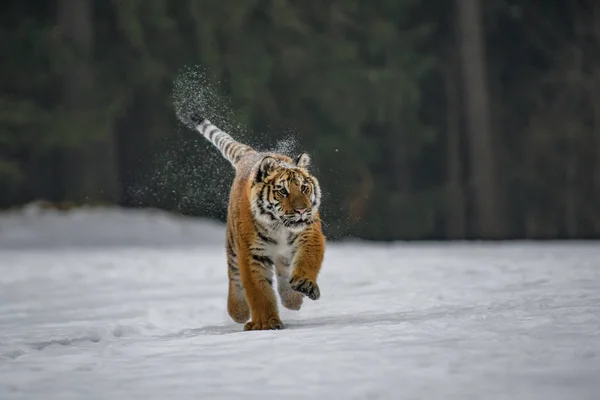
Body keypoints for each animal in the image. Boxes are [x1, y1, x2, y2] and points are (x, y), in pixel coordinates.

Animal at [190, 113, 326, 332]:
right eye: (283, 191)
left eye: (304, 188)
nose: (302, 210)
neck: (279, 227)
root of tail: (252, 155)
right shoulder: (252, 253)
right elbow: (259, 290)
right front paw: (265, 323)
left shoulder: (309, 234)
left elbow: (308, 259)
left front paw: (304, 284)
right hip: (232, 245)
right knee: (234, 276)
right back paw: (238, 311)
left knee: (283, 272)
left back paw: (292, 299)